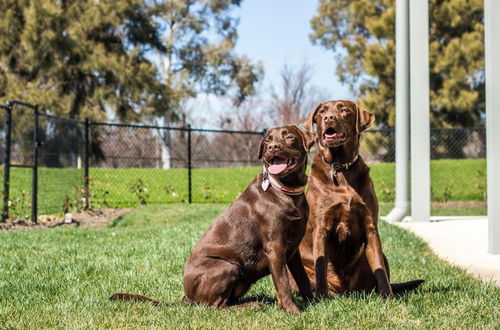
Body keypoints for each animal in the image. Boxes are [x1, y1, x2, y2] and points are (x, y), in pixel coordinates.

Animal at [182, 125, 314, 314]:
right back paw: (251, 305)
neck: (285, 190)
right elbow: (283, 283)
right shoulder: (275, 247)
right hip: (228, 266)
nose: (272, 147)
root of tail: (186, 297)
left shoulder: (294, 249)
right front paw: (293, 311)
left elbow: (303, 278)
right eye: (267, 141)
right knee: (216, 306)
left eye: (289, 137)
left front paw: (316, 301)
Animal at [294, 100, 424, 296]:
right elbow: (320, 266)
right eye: (322, 112)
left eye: (344, 110)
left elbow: (379, 268)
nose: (328, 118)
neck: (340, 167)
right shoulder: (321, 227)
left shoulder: (370, 226)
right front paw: (321, 298)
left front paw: (388, 297)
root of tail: (345, 291)